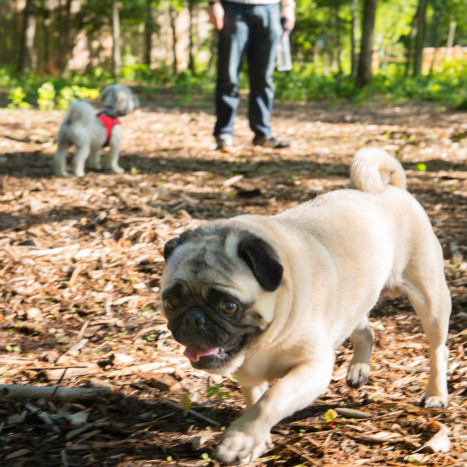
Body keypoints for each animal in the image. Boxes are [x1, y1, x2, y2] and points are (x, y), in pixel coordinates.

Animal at [161, 149, 450, 464]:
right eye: (169, 302)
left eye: (228, 306)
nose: (192, 319)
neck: (264, 341)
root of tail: (392, 188)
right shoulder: (248, 376)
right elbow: (254, 402)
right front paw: (254, 443)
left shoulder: (313, 368)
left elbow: (270, 401)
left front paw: (238, 441)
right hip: (354, 302)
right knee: (366, 331)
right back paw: (359, 369)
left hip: (430, 297)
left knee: (437, 349)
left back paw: (436, 394)